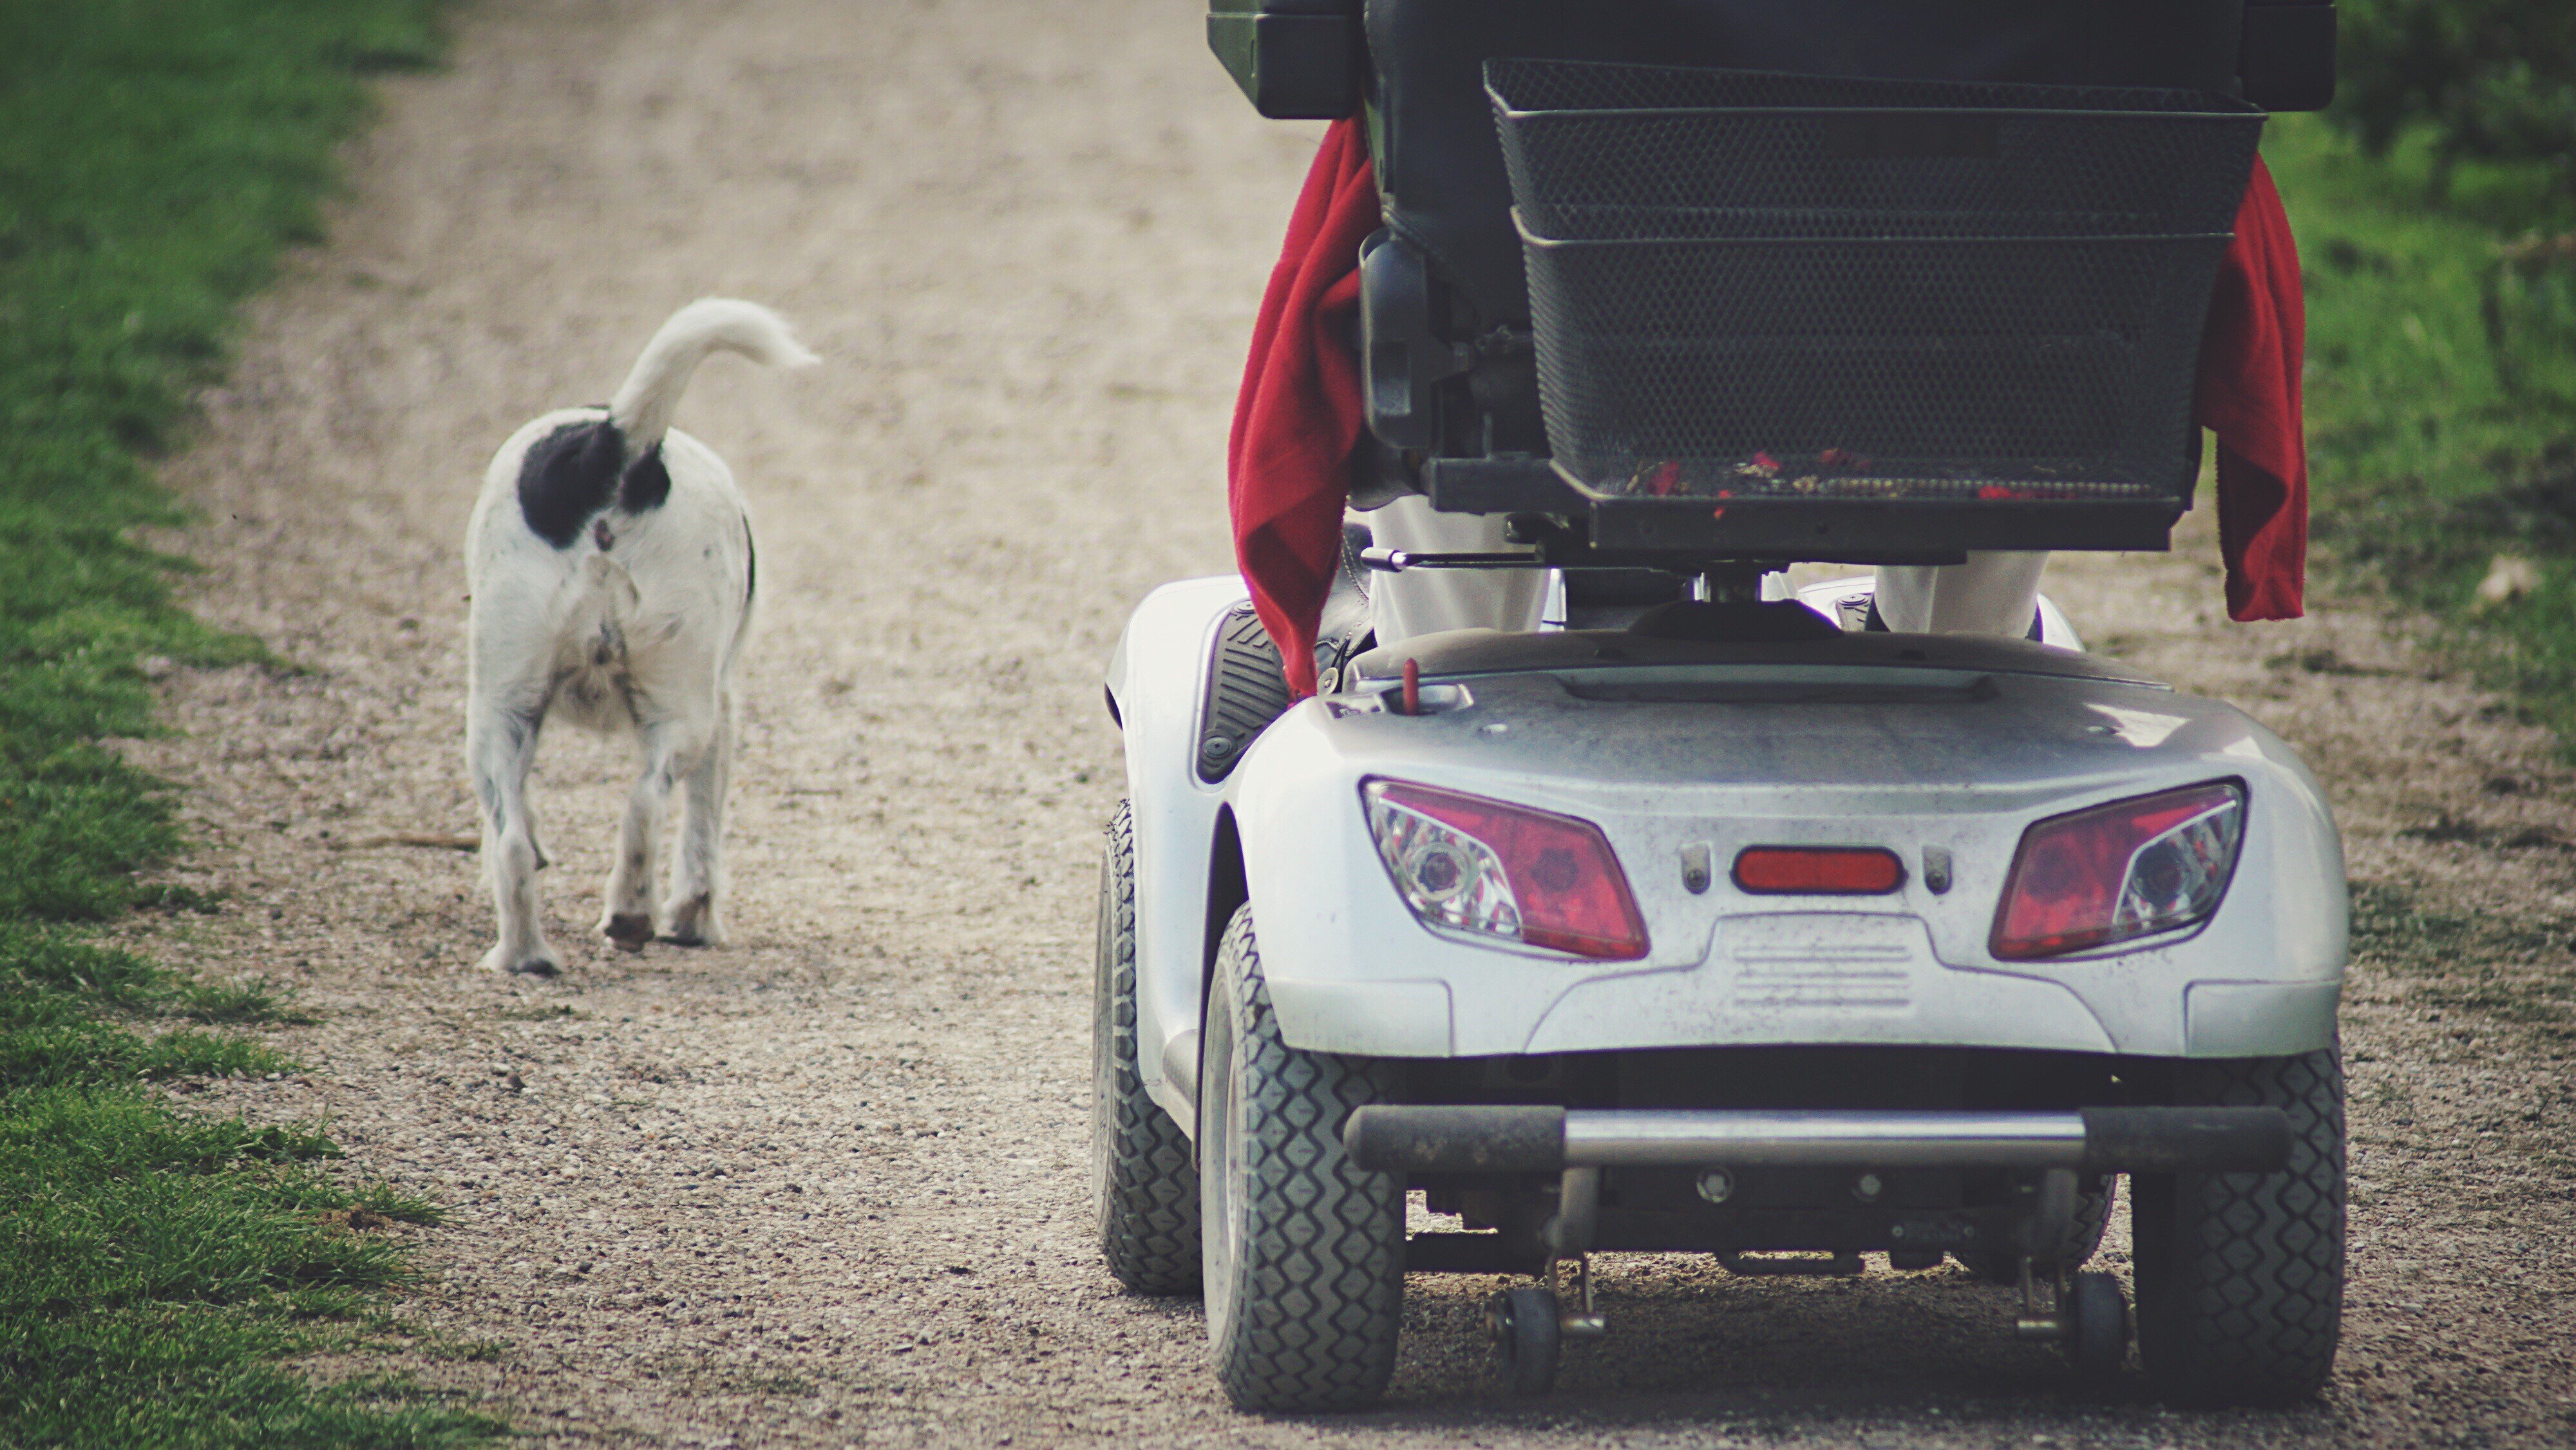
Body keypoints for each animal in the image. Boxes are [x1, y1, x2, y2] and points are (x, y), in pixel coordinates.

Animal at [466, 297, 814, 973]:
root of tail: (617, 448)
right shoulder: (724, 710)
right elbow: (702, 832)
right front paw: (694, 919)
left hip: (503, 711)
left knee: (528, 837)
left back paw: (529, 953)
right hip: (677, 706)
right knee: (645, 801)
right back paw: (624, 916)